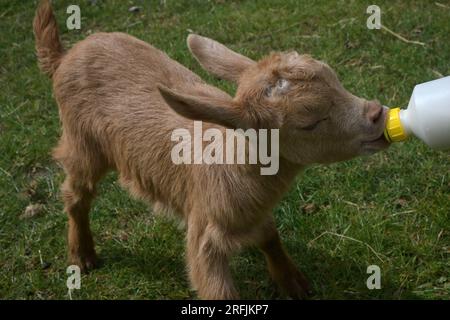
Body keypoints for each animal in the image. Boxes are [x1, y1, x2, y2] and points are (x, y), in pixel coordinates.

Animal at [33, 0, 388, 300]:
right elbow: (215, 288)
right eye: (309, 123)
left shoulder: (252, 212)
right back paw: (83, 255)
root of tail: (63, 57)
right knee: (76, 194)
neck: (234, 161)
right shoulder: (203, 233)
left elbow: (269, 234)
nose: (377, 115)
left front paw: (293, 281)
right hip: (82, 143)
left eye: (337, 81)